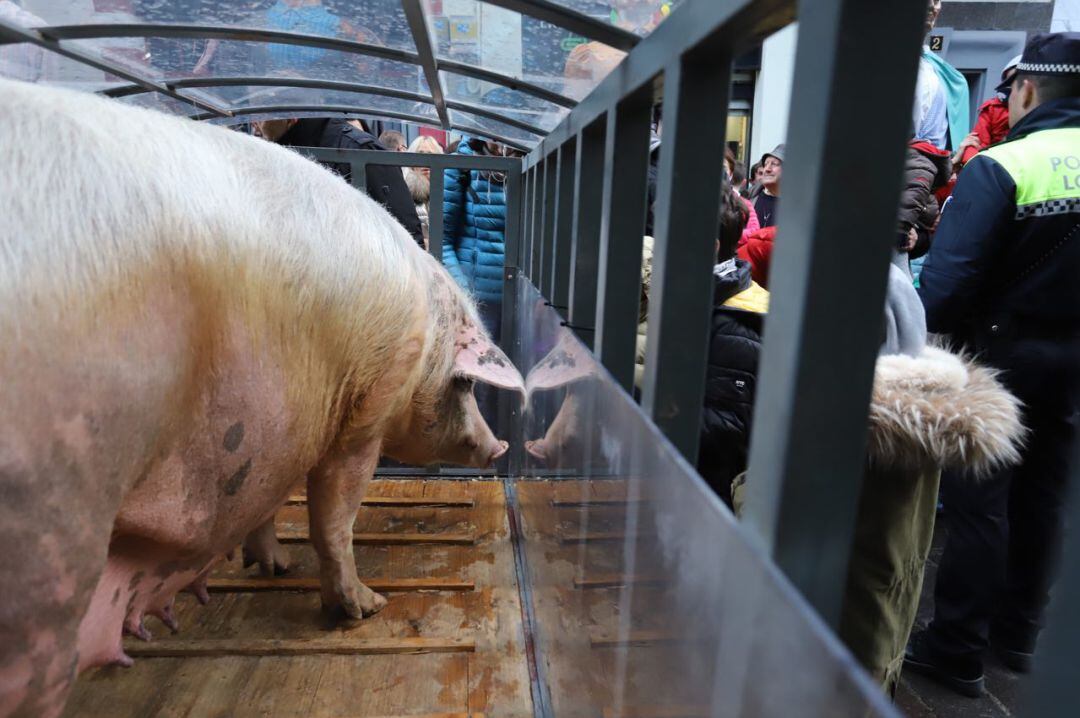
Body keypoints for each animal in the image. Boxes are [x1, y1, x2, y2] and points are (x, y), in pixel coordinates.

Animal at [0, 79, 522, 716]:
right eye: (466, 382)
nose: (498, 448)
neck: (426, 337)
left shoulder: (282, 425)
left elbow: (268, 501)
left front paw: (274, 567)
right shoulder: (363, 412)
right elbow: (332, 518)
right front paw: (363, 609)